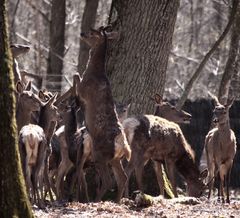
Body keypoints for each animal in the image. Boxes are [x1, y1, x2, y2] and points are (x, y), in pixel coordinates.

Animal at [74, 26, 131, 203]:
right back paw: (118, 201)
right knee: (123, 178)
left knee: (108, 180)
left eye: (92, 33)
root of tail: (123, 145)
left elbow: (76, 76)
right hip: (115, 158)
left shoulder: (84, 89)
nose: (81, 33)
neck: (95, 72)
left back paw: (96, 200)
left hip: (100, 154)